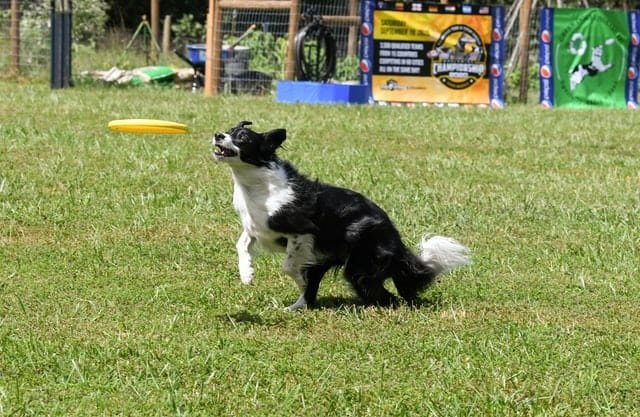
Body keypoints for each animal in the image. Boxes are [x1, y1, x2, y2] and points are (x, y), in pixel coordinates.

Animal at [212, 120, 468, 308]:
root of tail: (396, 240)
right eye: (229, 130)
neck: (256, 184)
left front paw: (297, 279)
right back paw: (298, 306)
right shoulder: (257, 227)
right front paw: (247, 273)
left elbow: (289, 265)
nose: (217, 135)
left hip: (360, 267)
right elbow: (242, 245)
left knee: (388, 296)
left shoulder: (302, 231)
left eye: (242, 138)